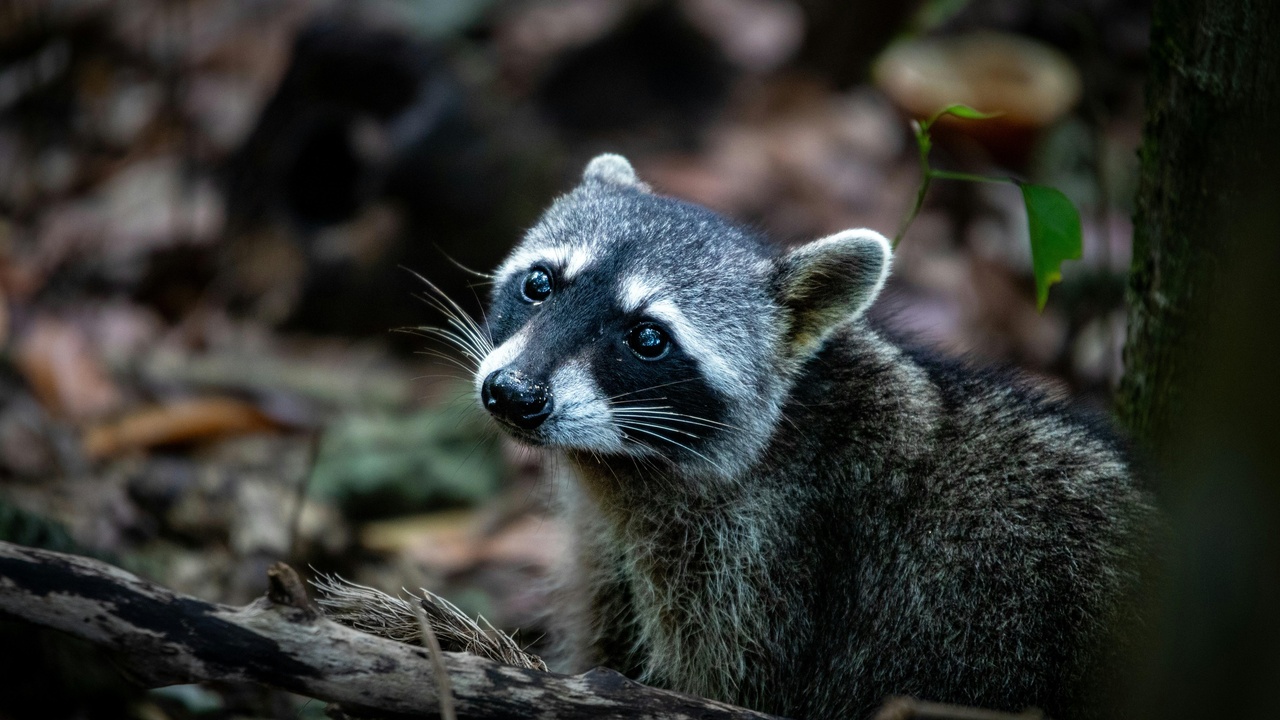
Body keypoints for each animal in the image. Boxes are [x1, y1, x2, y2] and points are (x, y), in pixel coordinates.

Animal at [452, 154, 1155, 719]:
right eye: (539, 284)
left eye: (648, 339)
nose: (513, 394)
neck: (625, 465)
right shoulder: (614, 554)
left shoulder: (768, 562)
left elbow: (728, 685)